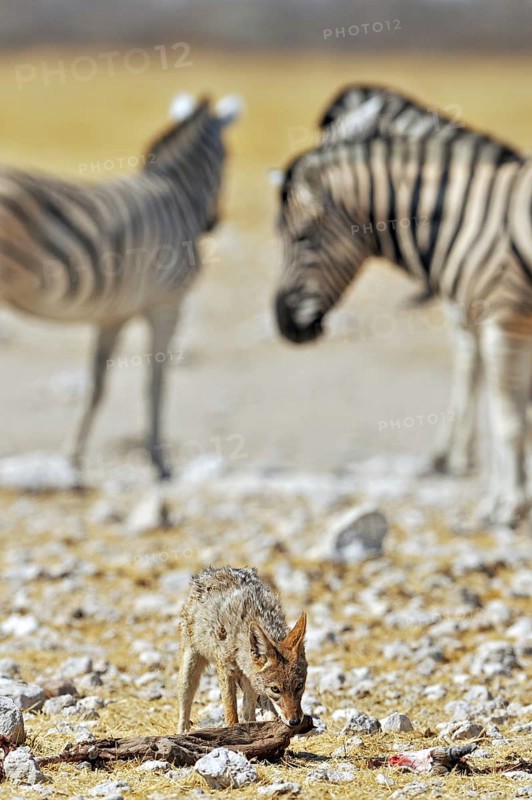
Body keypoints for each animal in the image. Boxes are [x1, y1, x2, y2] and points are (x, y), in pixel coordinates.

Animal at [0, 93, 242, 480]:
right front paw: (160, 462)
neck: (176, 192)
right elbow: (156, 383)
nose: (213, 223)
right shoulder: (167, 303)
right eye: (228, 157)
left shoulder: (114, 314)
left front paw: (74, 457)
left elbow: (97, 386)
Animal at [273, 133, 532, 527]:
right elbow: (513, 411)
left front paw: (507, 506)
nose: (283, 322)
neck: (469, 220)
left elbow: (508, 418)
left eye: (302, 238)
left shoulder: (503, 324)